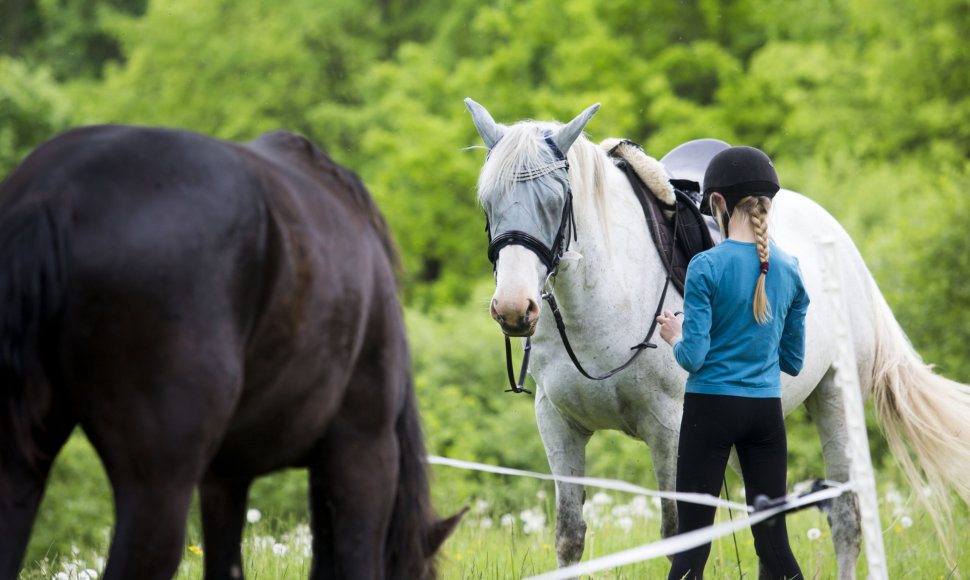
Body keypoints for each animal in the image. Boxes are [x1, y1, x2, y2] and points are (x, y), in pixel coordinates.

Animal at [464, 97, 968, 576]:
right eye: (487, 202)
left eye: (555, 202)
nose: (514, 309)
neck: (605, 297)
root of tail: (840, 241)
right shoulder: (558, 425)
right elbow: (570, 536)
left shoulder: (669, 430)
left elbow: (677, 536)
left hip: (836, 402)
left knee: (845, 515)